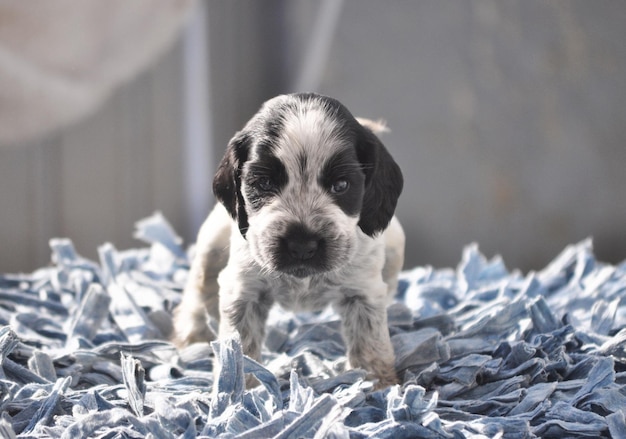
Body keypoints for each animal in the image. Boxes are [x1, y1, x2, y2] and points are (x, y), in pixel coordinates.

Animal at [172, 93, 404, 388]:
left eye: (341, 186)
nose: (302, 245)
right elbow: (240, 348)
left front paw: (378, 386)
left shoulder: (364, 292)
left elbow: (370, 343)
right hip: (211, 243)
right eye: (264, 183)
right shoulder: (243, 291)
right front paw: (240, 391)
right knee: (200, 284)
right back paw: (192, 331)